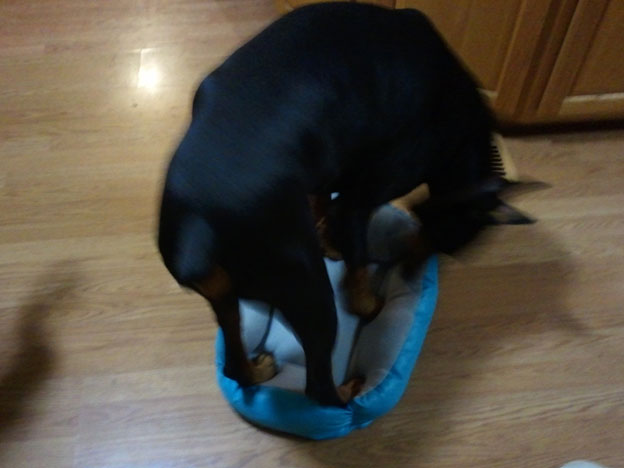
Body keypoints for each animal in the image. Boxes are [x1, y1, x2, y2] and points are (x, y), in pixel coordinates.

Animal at [158, 2, 528, 406]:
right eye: (442, 240)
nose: (409, 273)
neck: (464, 129)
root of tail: (196, 228)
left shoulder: (326, 167)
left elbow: (324, 207)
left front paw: (330, 241)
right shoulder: (363, 197)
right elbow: (358, 265)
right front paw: (368, 302)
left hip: (226, 295)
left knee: (234, 355)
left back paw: (259, 371)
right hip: (309, 290)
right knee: (318, 387)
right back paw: (350, 391)